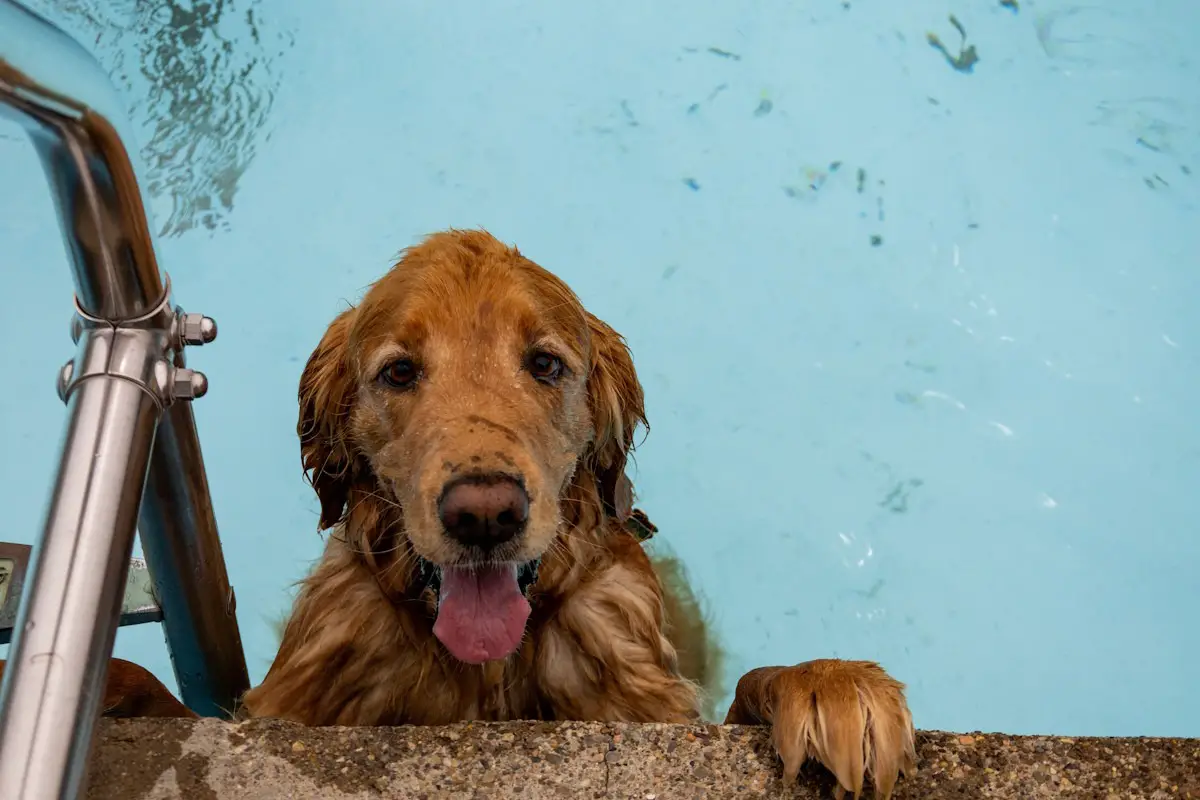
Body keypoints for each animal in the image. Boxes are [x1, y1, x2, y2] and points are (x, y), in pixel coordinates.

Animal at [0, 227, 912, 796]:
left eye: (545, 363)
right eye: (399, 372)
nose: (484, 514)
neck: (486, 676)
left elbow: (751, 689)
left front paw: (831, 686)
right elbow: (158, 692)